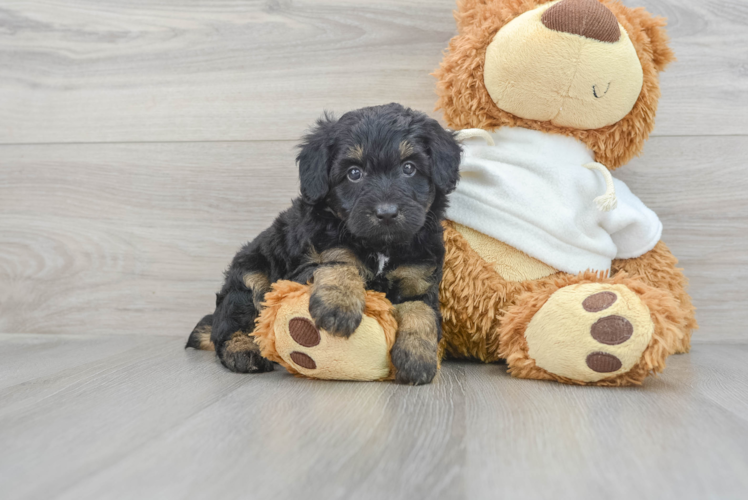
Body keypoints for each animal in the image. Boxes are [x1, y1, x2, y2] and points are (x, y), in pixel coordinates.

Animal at [186, 100, 462, 382]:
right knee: (230, 323)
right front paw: (339, 305)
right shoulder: (304, 264)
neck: (380, 246)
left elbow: (421, 311)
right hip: (249, 277)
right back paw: (244, 351)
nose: (386, 213)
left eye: (409, 168)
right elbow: (340, 261)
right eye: (354, 173)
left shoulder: (419, 278)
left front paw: (418, 358)